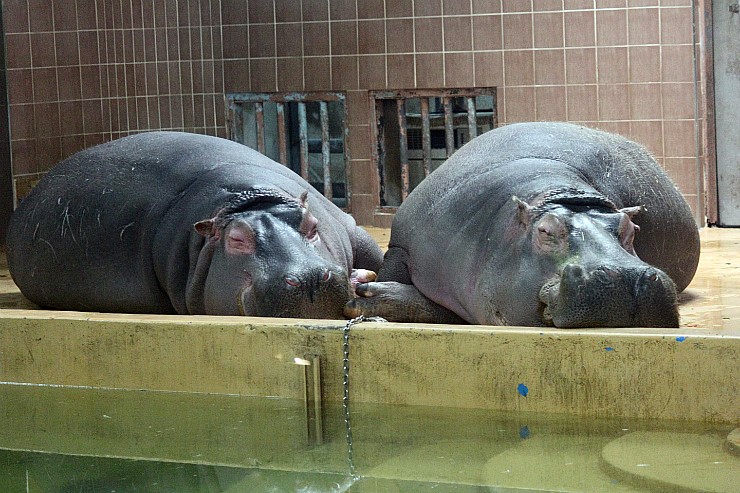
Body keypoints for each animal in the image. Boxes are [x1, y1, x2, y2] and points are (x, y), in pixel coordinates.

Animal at [346, 122, 700, 328]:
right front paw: (364, 295)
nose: (626, 275)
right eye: (545, 231)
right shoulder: (402, 246)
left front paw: (367, 296)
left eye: (631, 229)